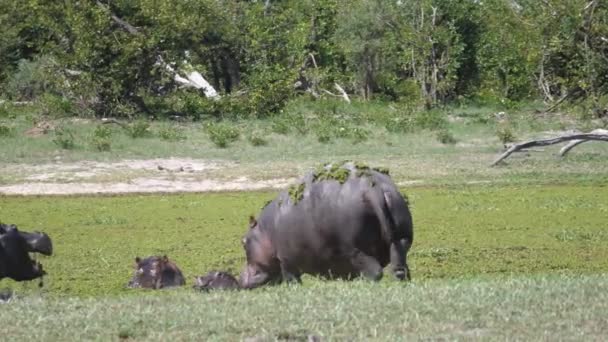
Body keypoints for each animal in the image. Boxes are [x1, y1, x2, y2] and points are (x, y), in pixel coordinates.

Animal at [238, 162, 414, 290]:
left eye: (243, 242)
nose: (239, 280)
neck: (264, 231)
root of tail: (373, 188)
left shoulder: (286, 260)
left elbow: (292, 280)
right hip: (401, 237)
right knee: (399, 268)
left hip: (354, 249)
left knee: (374, 272)